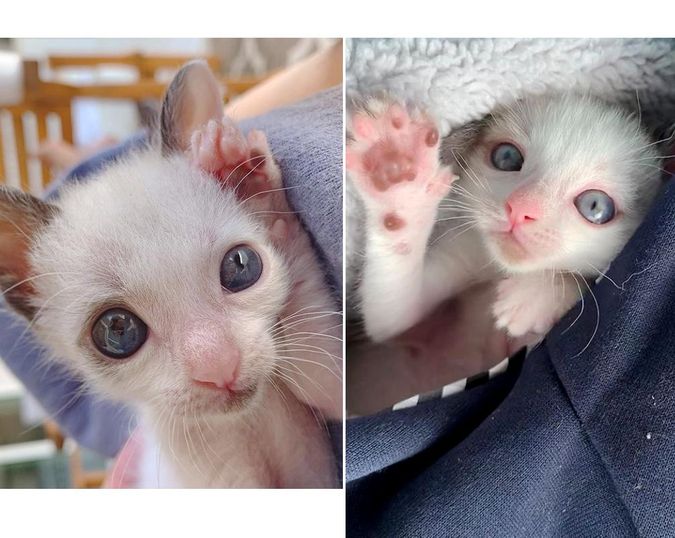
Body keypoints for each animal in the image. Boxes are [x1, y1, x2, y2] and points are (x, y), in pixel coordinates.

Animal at [348, 93, 660, 340]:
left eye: (595, 206)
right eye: (507, 157)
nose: (520, 210)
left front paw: (538, 294)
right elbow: (391, 317)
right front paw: (397, 174)